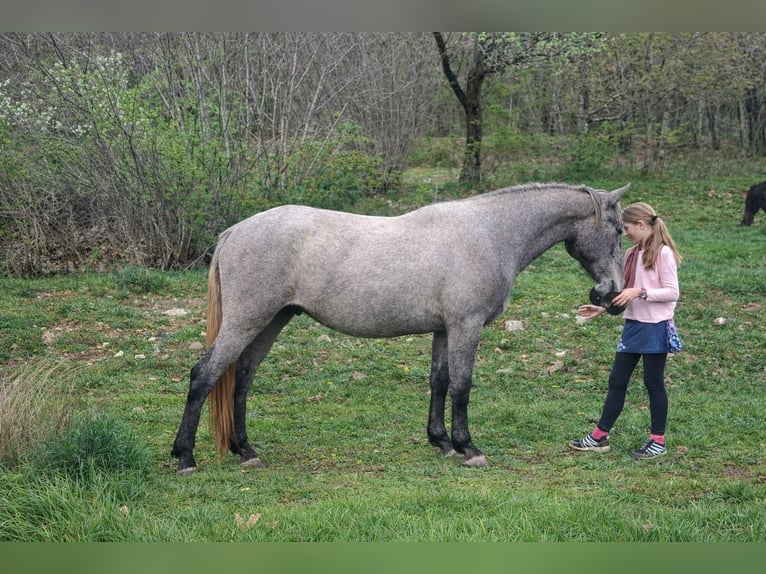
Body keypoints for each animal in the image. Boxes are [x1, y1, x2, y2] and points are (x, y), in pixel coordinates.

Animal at [171, 182, 630, 476]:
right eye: (618, 230)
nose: (610, 293)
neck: (490, 234)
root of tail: (235, 231)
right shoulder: (466, 327)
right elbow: (462, 385)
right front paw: (468, 447)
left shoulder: (445, 330)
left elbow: (440, 381)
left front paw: (441, 441)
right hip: (247, 320)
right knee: (204, 375)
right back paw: (185, 458)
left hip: (271, 321)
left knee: (242, 377)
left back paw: (245, 450)